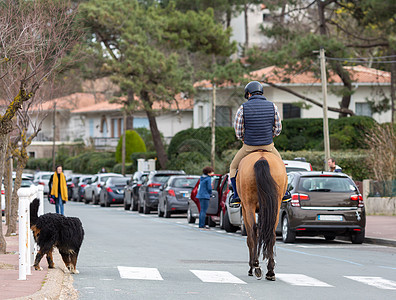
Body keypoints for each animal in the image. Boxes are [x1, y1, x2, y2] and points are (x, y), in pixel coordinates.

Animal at [237, 151, 286, 280]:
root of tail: (262, 158)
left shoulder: (244, 208)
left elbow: (250, 238)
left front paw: (251, 267)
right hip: (275, 206)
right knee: (271, 233)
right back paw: (270, 272)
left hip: (249, 205)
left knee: (253, 232)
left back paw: (255, 266)